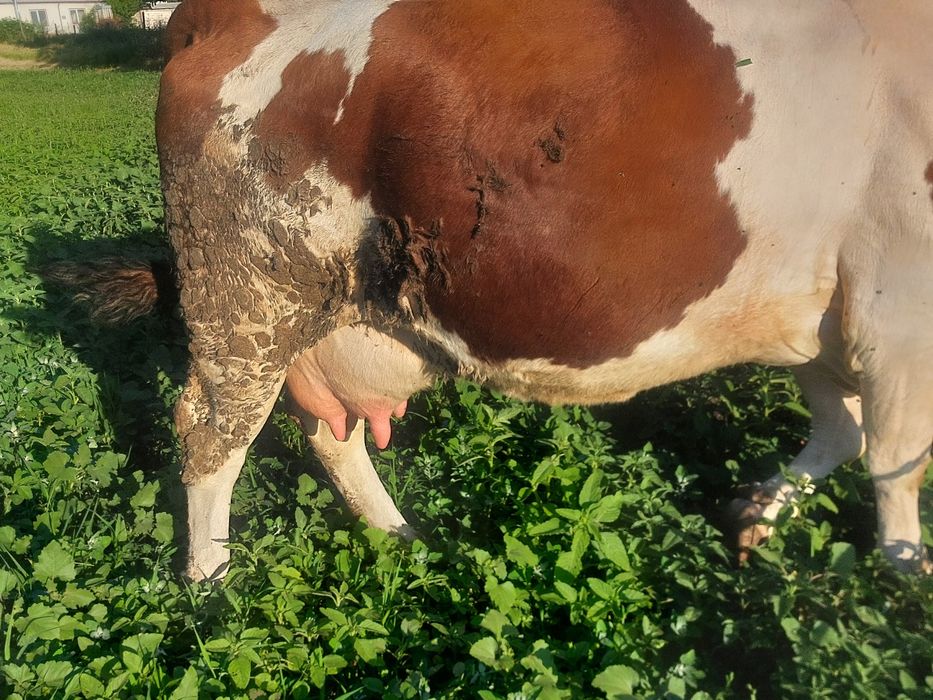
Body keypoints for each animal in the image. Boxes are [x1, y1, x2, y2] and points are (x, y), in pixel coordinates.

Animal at [136, 0, 932, 581]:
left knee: (333, 434)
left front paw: (759, 513)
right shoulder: (899, 316)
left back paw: (400, 535)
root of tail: (225, 11)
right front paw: (903, 587)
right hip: (248, 293)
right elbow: (895, 464)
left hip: (331, 311)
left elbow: (845, 432)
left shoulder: (823, 314)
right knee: (212, 434)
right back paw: (210, 590)